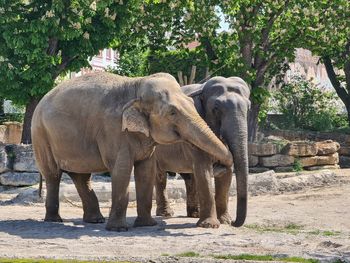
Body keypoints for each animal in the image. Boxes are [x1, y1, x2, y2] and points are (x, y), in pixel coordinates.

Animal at [30, 71, 232, 231]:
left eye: (191, 102)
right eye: (172, 112)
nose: (219, 165)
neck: (136, 85)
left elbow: (146, 170)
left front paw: (147, 225)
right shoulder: (113, 130)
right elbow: (122, 169)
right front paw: (119, 229)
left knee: (81, 176)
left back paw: (95, 220)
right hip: (41, 136)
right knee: (53, 175)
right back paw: (54, 220)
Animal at [154, 75, 250, 228]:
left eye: (249, 107)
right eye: (216, 108)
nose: (234, 222)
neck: (202, 89)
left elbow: (227, 172)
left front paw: (224, 221)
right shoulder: (194, 131)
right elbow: (203, 170)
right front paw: (210, 225)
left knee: (190, 177)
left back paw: (194, 214)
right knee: (160, 176)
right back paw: (166, 214)